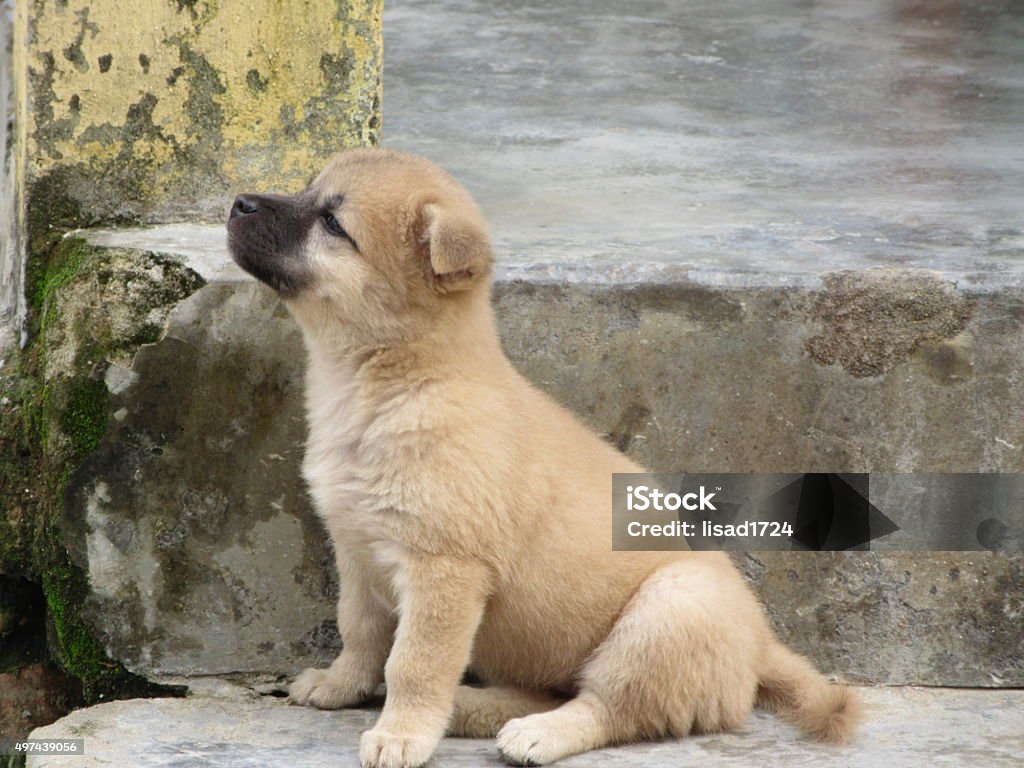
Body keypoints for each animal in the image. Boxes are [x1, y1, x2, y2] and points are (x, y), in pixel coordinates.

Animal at [228, 147, 860, 765]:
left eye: (334, 224)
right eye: (310, 190)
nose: (237, 203)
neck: (396, 383)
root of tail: (762, 647)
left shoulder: (444, 570)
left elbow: (413, 663)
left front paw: (401, 735)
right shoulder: (358, 552)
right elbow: (359, 632)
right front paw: (340, 686)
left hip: (669, 613)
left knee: (606, 707)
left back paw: (535, 734)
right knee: (547, 691)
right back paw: (473, 709)